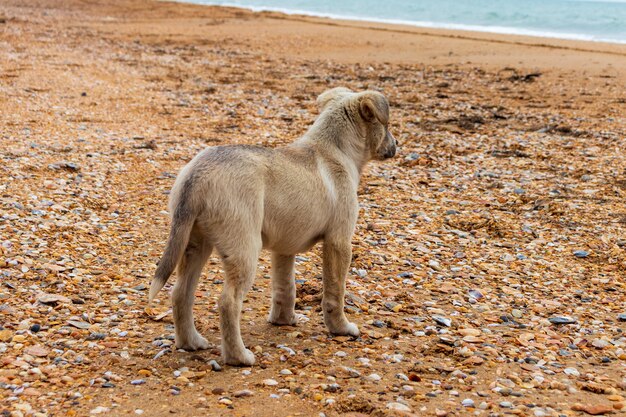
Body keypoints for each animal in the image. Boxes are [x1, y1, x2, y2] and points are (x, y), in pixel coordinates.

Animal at [147, 87, 394, 364]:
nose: (395, 147)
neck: (334, 149)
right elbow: (335, 291)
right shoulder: (339, 242)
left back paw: (191, 342)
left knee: (181, 293)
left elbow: (285, 287)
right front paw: (341, 328)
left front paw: (284, 321)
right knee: (228, 302)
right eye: (388, 125)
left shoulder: (284, 248)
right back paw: (239, 357)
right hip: (243, 249)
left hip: (195, 243)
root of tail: (197, 174)